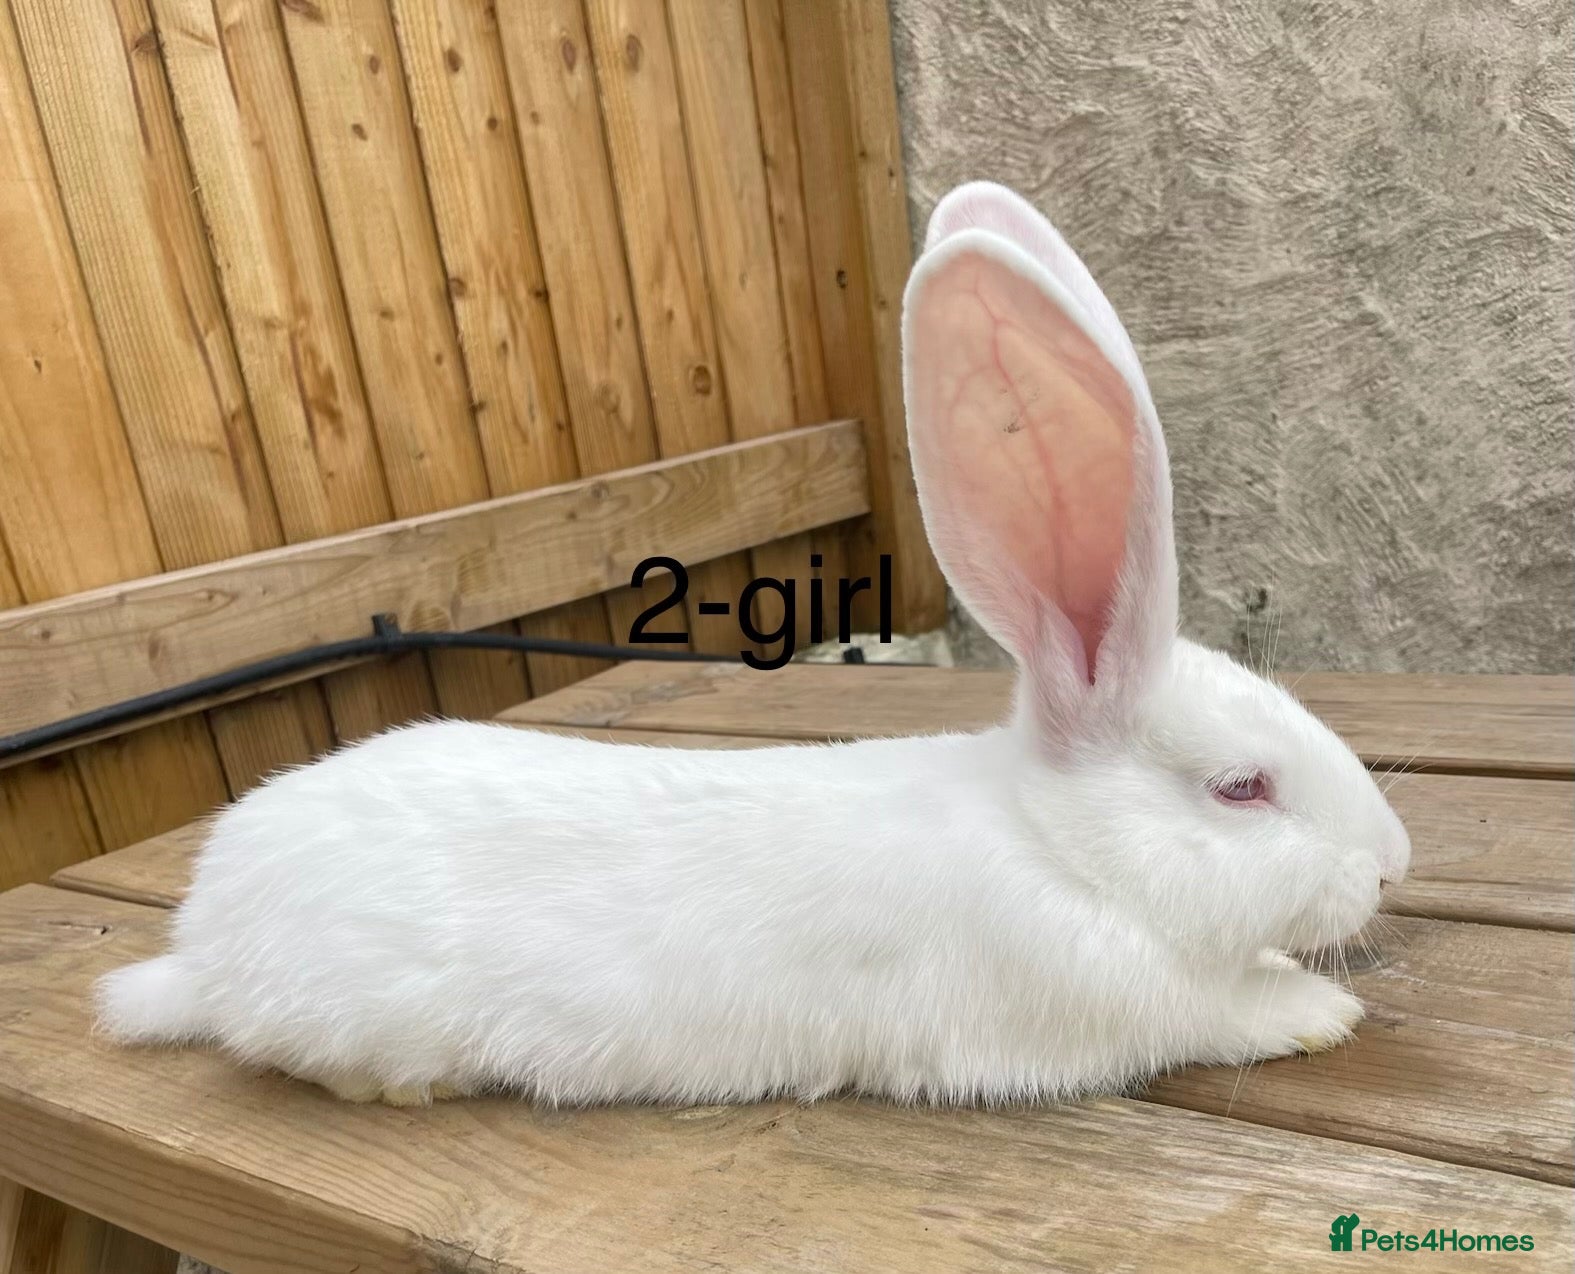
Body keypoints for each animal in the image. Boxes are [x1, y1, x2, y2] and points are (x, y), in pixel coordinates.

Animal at [96, 180, 1410, 1108]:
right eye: (1241, 788)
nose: (1394, 862)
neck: (1062, 850)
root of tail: (206, 945)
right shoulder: (1099, 1006)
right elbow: (1219, 1014)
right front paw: (1314, 1012)